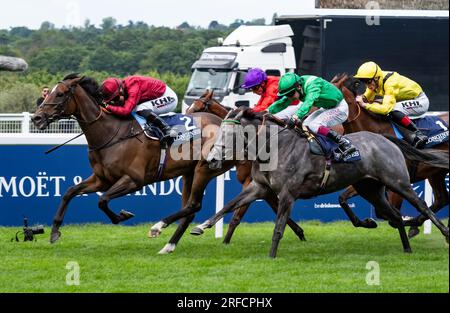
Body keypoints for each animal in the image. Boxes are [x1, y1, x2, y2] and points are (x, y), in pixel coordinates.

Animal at [185, 89, 306, 243]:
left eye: (197, 109)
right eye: (189, 109)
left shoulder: (252, 181)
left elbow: (237, 216)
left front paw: (225, 241)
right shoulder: (262, 185)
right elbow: (273, 205)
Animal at [192, 108, 448, 258]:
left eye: (230, 134)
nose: (211, 159)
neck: (275, 147)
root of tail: (386, 139)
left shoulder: (287, 194)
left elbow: (278, 227)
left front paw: (272, 255)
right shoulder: (259, 187)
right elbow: (229, 205)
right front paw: (200, 226)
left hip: (398, 181)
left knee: (422, 207)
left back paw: (442, 233)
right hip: (370, 188)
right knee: (394, 215)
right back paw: (406, 248)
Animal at [332, 73, 448, 236]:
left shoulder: (397, 181)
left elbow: (392, 214)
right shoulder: (367, 178)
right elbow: (342, 198)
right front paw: (368, 222)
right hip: (436, 172)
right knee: (441, 199)